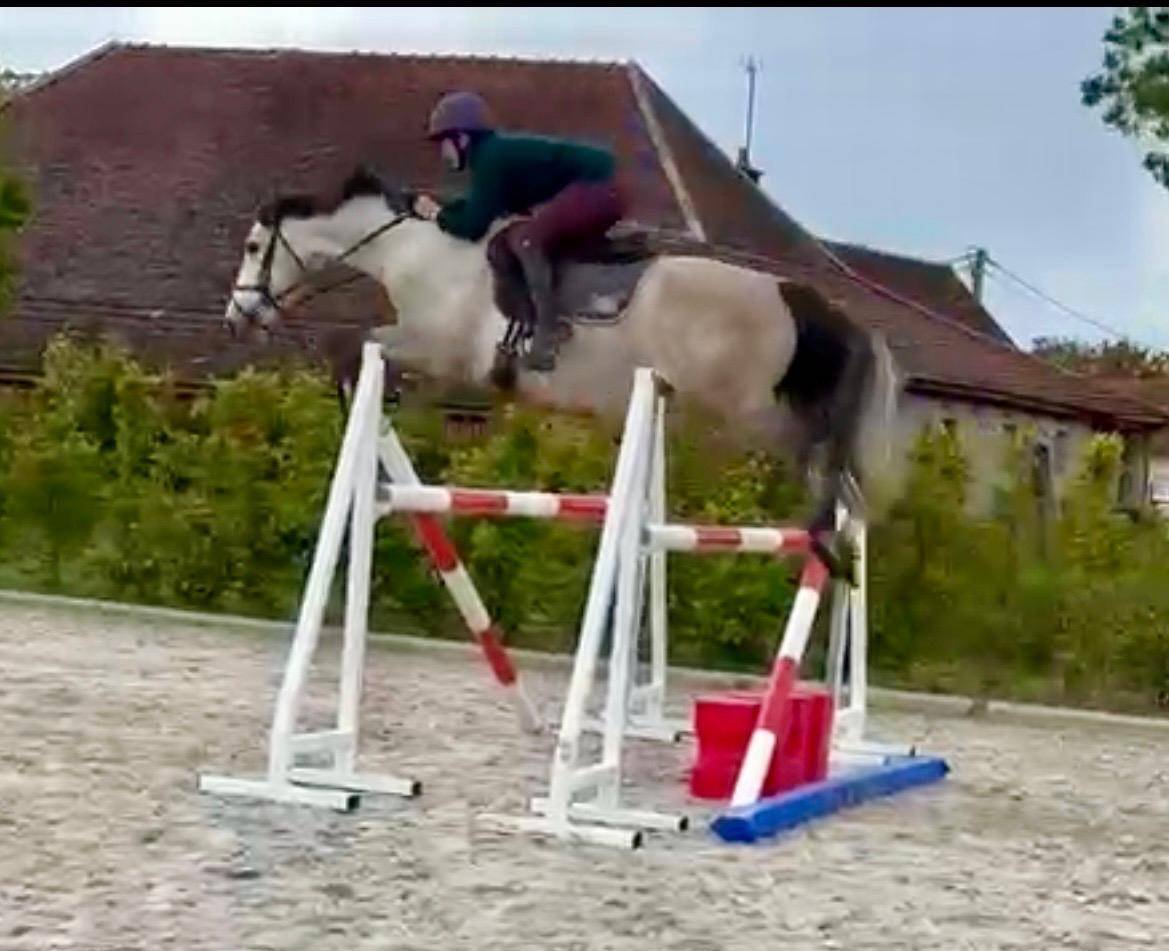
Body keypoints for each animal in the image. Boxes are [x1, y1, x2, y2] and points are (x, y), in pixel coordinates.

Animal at [222, 166, 901, 578]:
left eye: (255, 248)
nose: (237, 320)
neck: (415, 251)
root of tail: (795, 294)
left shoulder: (437, 349)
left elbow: (352, 345)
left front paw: (355, 404)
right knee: (829, 458)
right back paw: (839, 543)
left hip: (745, 410)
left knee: (819, 453)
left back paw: (825, 535)